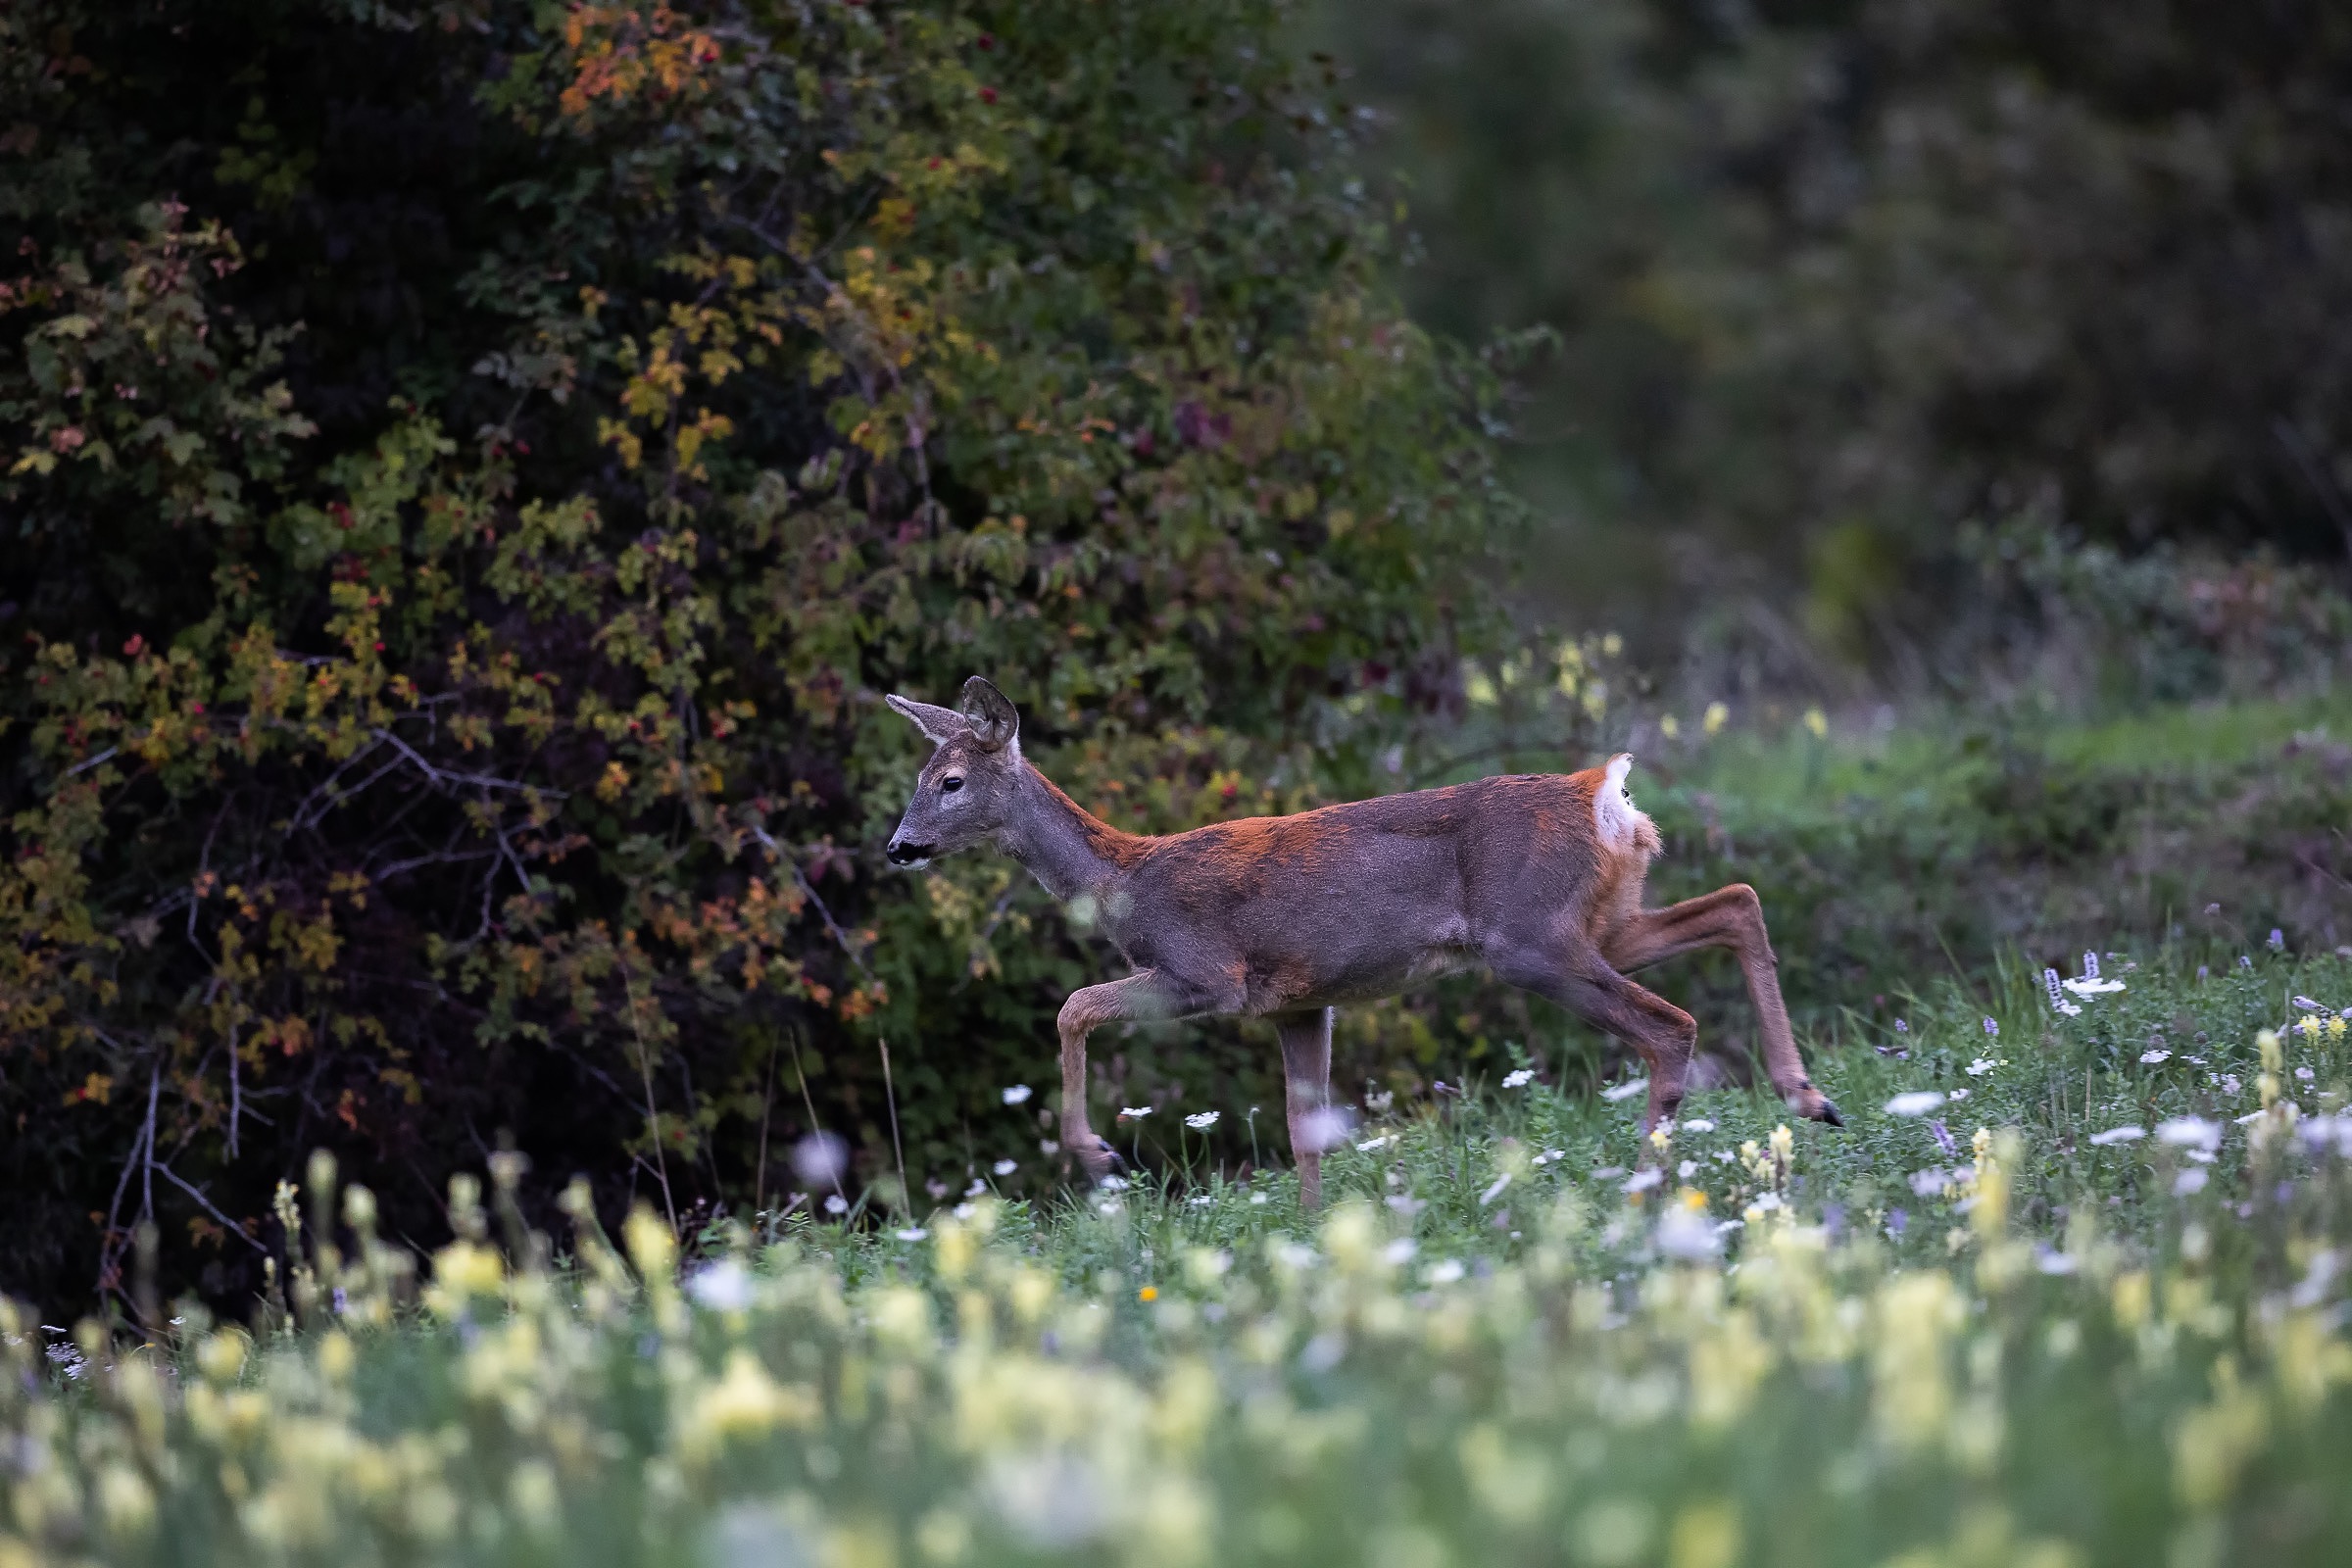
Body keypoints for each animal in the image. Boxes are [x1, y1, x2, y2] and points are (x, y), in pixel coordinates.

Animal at [884, 677, 1843, 1207]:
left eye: (952, 780)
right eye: (918, 778)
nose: (897, 846)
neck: (1124, 883)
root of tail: (1607, 796)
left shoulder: (1205, 973)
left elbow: (1074, 1005)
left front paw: (1093, 1151)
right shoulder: (1301, 1003)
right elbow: (1306, 1131)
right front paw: (1309, 1244)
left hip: (1532, 941)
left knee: (1670, 1026)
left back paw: (1649, 1192)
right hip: (1599, 920)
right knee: (1736, 902)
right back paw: (1808, 1096)